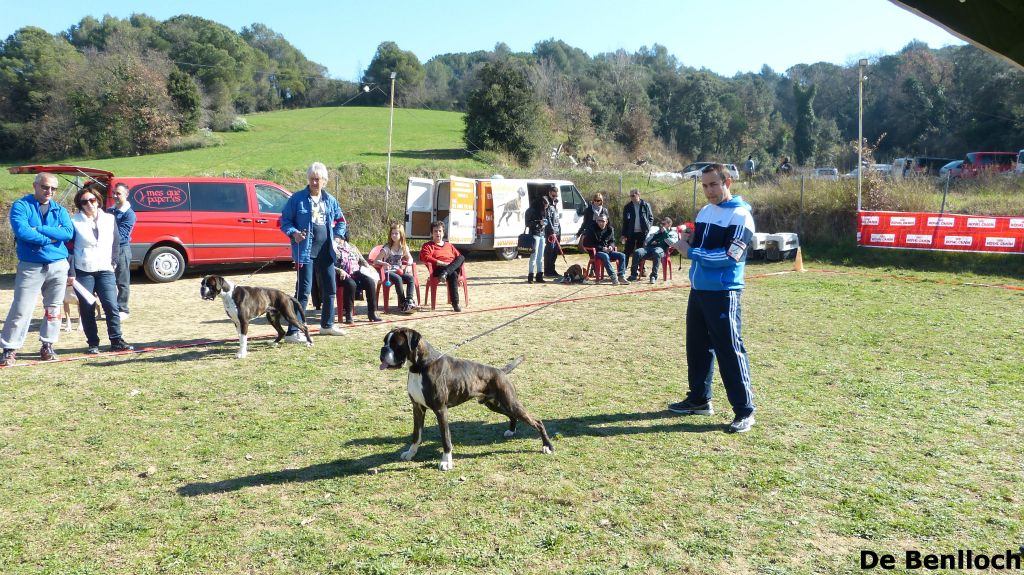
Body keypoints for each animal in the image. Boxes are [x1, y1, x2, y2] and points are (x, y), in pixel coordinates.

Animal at [379, 327, 554, 471]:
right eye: (385, 342)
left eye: (396, 344)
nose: (382, 350)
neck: (420, 367)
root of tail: (500, 371)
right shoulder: (417, 408)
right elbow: (416, 435)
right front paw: (411, 453)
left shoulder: (441, 410)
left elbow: (446, 439)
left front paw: (446, 462)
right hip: (495, 404)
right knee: (512, 415)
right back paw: (511, 430)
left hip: (509, 402)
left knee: (537, 422)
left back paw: (547, 446)